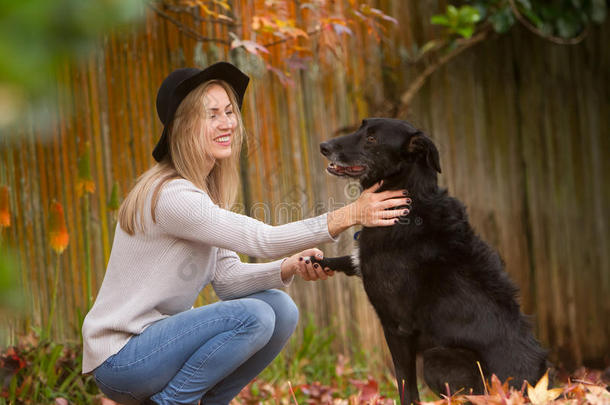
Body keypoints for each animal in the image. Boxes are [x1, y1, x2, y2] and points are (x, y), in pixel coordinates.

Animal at [316, 118, 544, 402]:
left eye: (371, 139)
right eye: (360, 128)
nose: (323, 147)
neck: (408, 201)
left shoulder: (397, 327)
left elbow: (406, 385)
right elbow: (349, 259)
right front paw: (311, 262)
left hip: (438, 359)